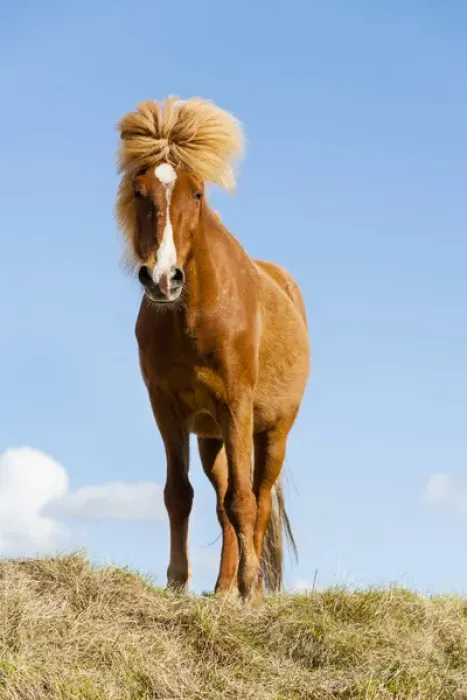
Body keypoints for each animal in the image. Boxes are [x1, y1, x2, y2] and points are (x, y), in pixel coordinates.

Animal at [115, 96, 311, 601]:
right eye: (139, 192)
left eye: (198, 193)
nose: (163, 278)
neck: (194, 315)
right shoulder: (167, 409)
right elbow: (178, 495)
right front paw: (177, 582)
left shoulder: (236, 405)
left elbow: (245, 501)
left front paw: (252, 591)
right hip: (211, 439)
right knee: (223, 505)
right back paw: (222, 590)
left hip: (272, 433)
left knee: (257, 500)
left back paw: (246, 588)